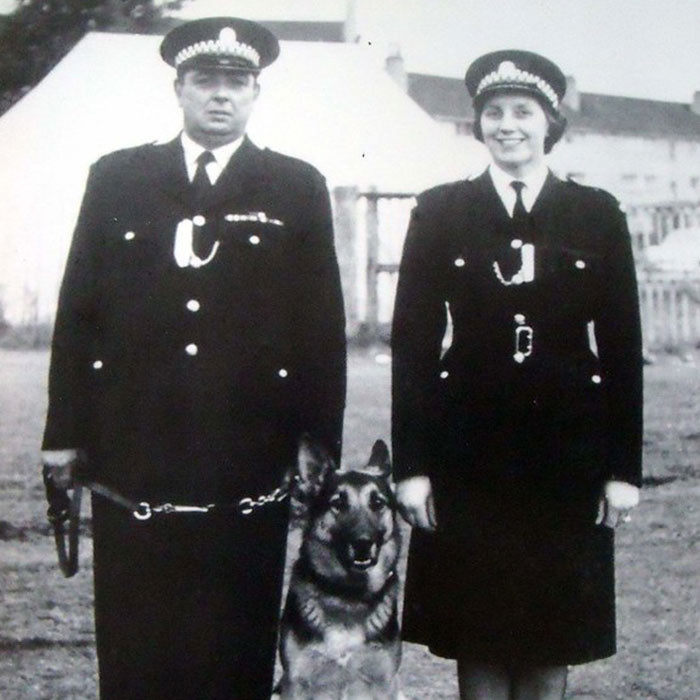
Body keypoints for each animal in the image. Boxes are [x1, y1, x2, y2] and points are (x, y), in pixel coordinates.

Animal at [276, 438, 402, 700]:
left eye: (377, 503)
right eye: (338, 503)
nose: (363, 543)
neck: (347, 596)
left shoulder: (384, 684)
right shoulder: (295, 683)